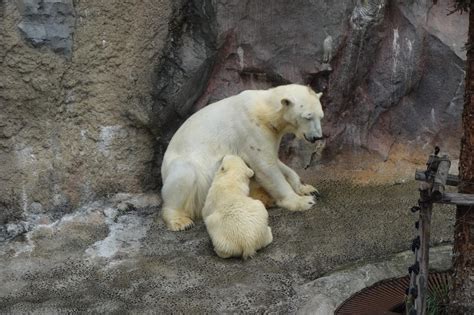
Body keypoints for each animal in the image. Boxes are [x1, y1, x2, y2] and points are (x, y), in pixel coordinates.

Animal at [161, 84, 324, 232]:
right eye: (308, 117)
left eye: (321, 116)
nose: (317, 137)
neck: (264, 111)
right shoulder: (251, 130)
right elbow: (265, 167)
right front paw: (304, 201)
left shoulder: (270, 133)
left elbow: (276, 162)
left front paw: (308, 189)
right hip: (186, 170)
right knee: (184, 174)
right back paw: (180, 221)